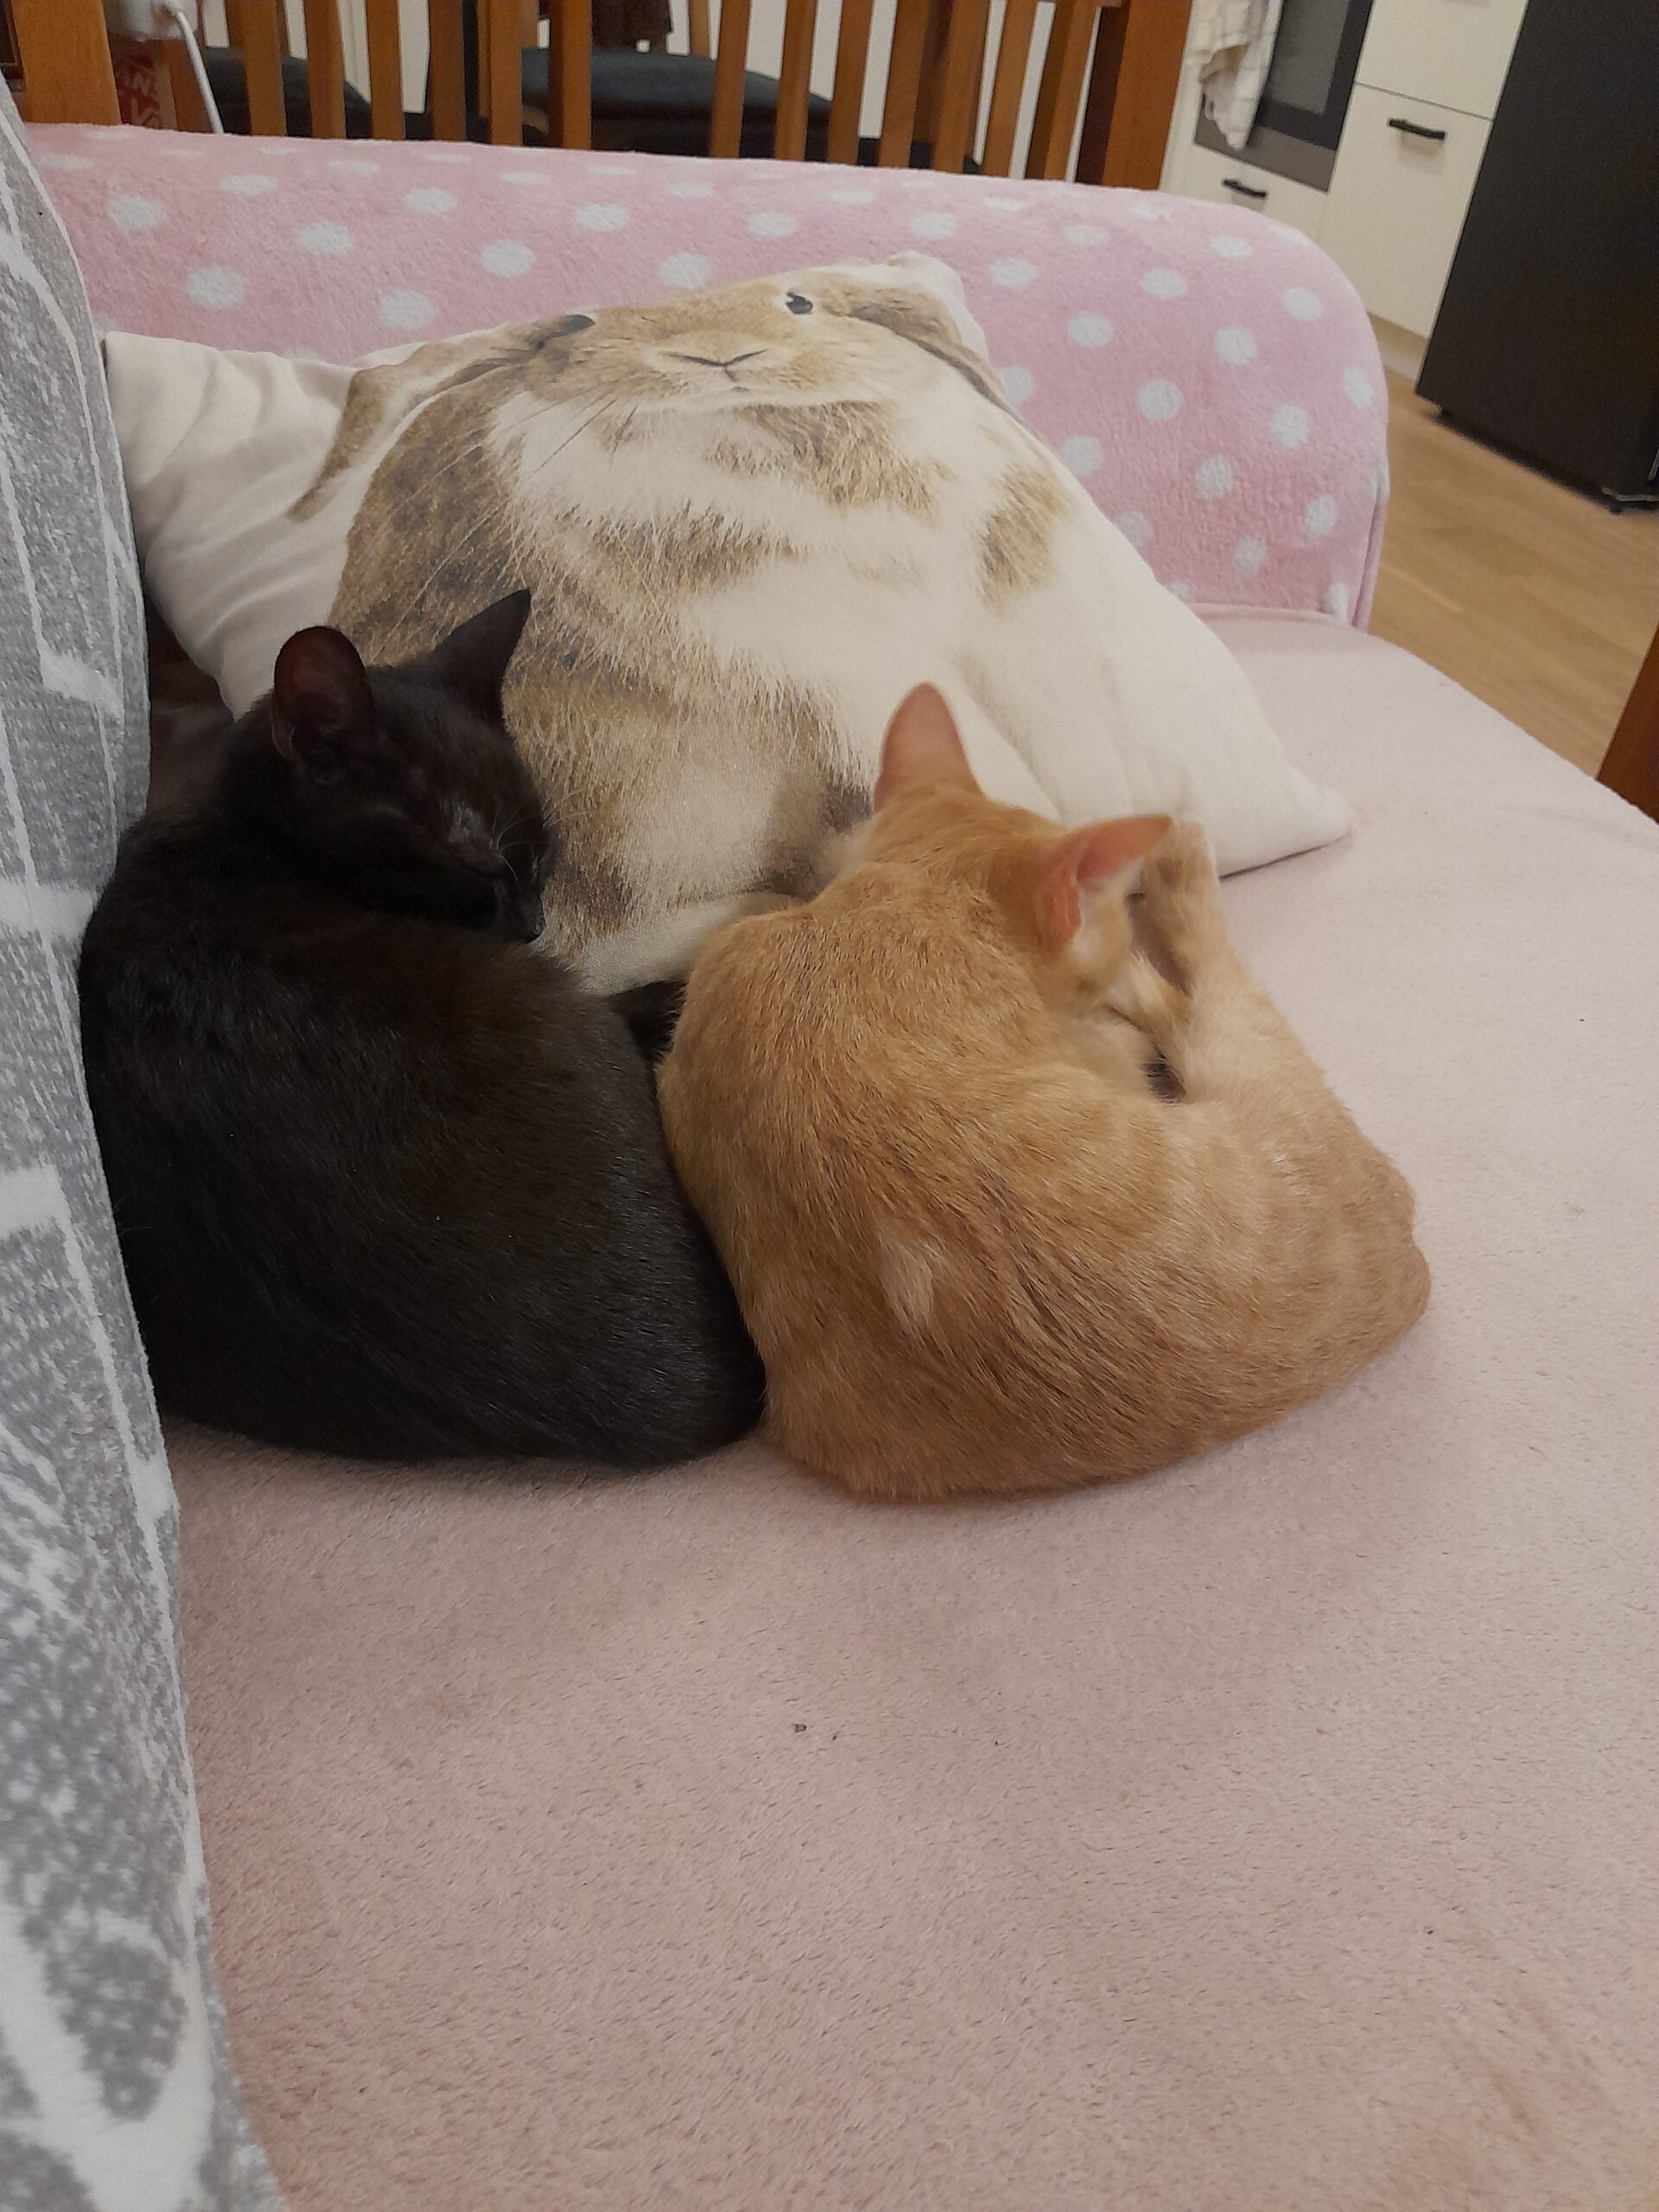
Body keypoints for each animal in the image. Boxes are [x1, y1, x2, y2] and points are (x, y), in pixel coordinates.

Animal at [657, 686, 1429, 1504]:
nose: (1114, 951)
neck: (897, 913)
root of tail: (1409, 1279)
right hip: (1251, 1064)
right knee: (1203, 988)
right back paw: (1180, 861)